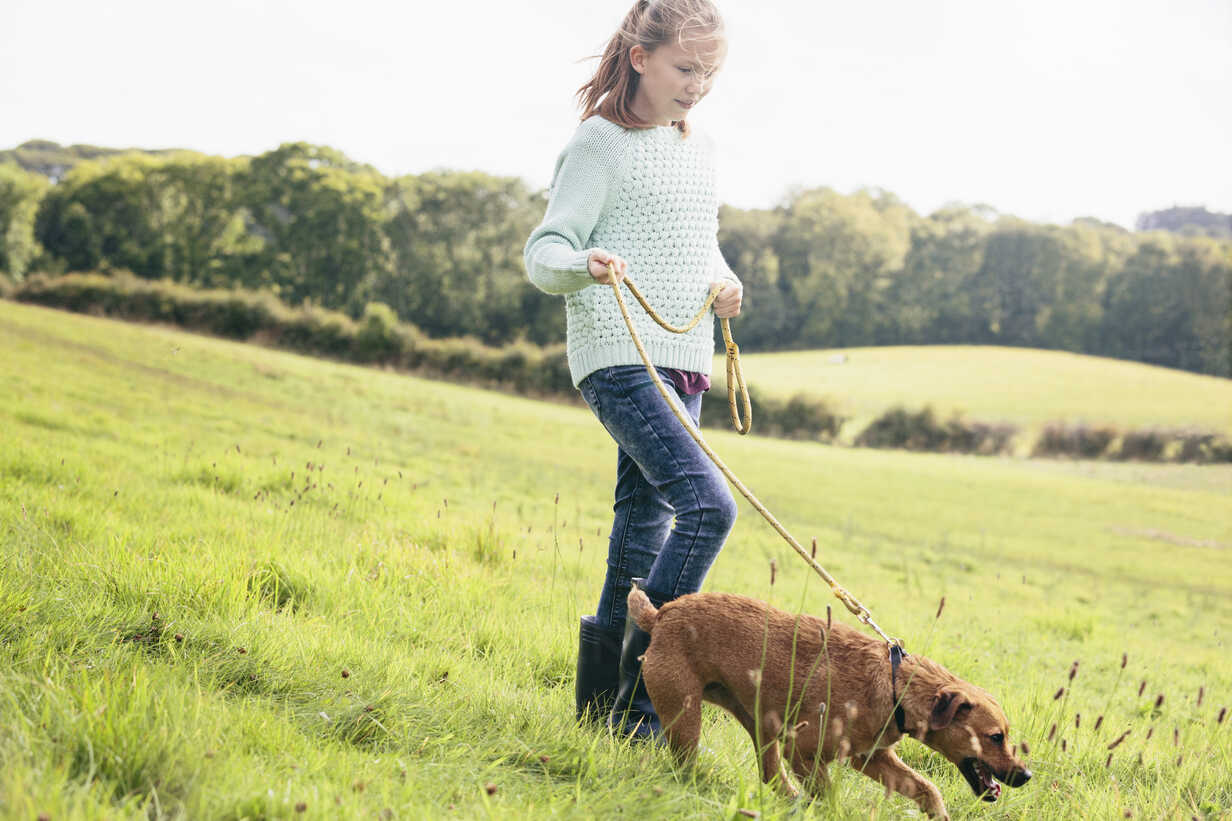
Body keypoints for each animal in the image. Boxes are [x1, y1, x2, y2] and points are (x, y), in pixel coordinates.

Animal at [625, 591, 1029, 813]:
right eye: (995, 737)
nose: (1026, 776)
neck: (895, 685)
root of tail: (661, 613)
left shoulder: (872, 758)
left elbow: (926, 789)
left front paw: (938, 815)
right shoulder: (803, 752)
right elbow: (830, 797)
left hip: (760, 722)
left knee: (771, 776)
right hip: (686, 718)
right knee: (686, 767)